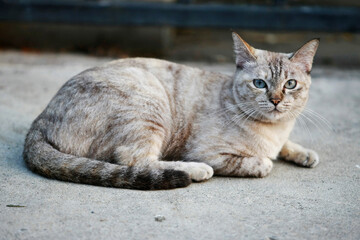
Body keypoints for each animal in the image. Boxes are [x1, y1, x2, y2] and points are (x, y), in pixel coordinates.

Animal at [23, 32, 320, 189]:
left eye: (290, 84)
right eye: (260, 84)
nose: (276, 100)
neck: (276, 130)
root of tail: (40, 119)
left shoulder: (282, 137)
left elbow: (287, 146)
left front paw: (304, 153)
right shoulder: (211, 152)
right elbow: (263, 163)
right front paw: (265, 161)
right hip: (149, 104)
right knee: (135, 160)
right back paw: (194, 171)